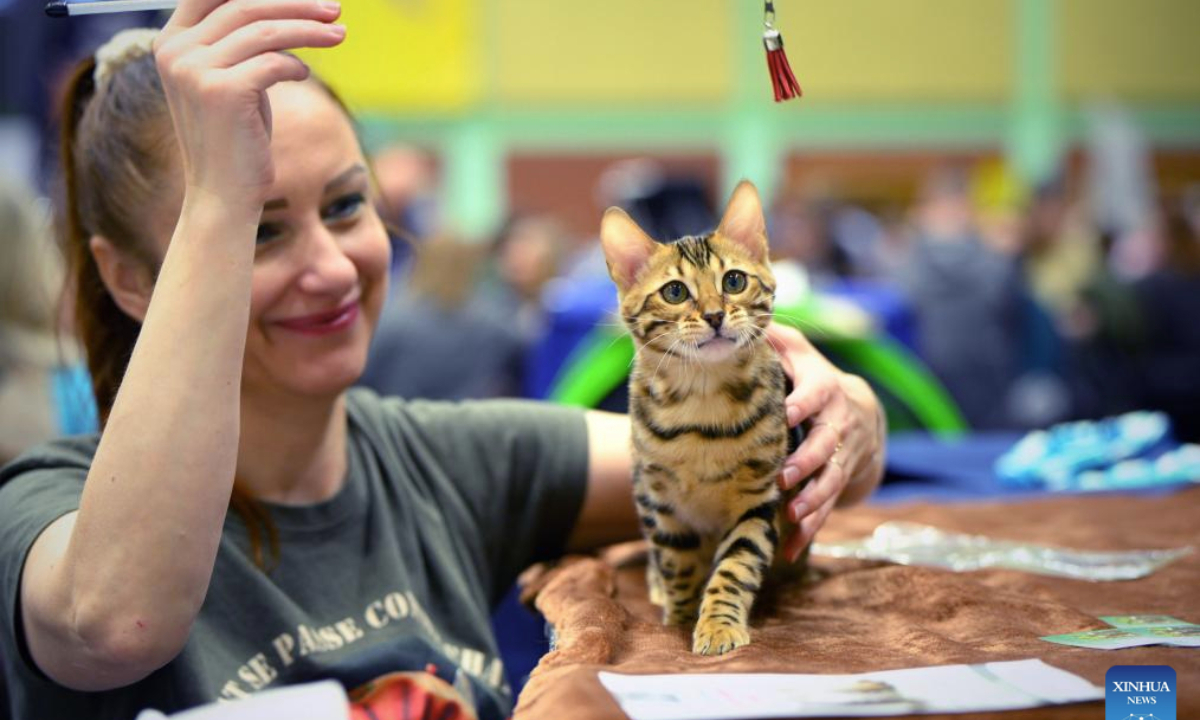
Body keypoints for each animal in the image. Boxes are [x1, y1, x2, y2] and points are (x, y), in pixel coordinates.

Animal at [597, 178, 796, 652]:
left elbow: (736, 566)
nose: (715, 314)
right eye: (674, 292)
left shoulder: (758, 499)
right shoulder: (661, 503)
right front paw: (681, 616)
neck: (704, 403)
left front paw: (719, 624)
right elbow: (677, 563)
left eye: (734, 280)